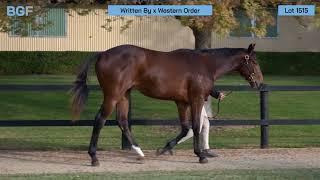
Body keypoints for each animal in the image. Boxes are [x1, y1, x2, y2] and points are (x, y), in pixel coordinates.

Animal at [70, 43, 262, 165]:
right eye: (253, 61)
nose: (259, 82)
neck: (205, 65)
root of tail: (103, 53)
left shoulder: (182, 102)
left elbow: (185, 128)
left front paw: (164, 149)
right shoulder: (197, 99)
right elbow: (196, 126)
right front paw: (201, 156)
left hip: (124, 95)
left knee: (122, 122)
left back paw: (140, 153)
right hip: (112, 95)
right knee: (100, 120)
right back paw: (94, 158)